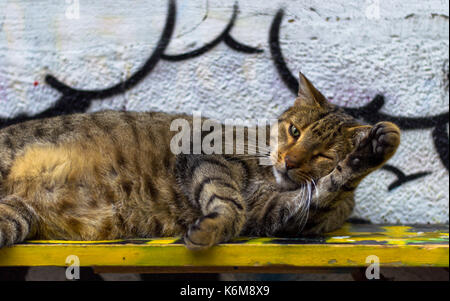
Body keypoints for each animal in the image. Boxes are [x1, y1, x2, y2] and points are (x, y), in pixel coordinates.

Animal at [0, 72, 400, 248]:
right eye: (295, 131)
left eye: (323, 154)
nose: (288, 160)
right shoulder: (203, 151)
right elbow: (227, 200)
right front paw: (211, 227)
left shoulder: (280, 215)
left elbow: (329, 185)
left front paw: (373, 150)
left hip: (17, 217)